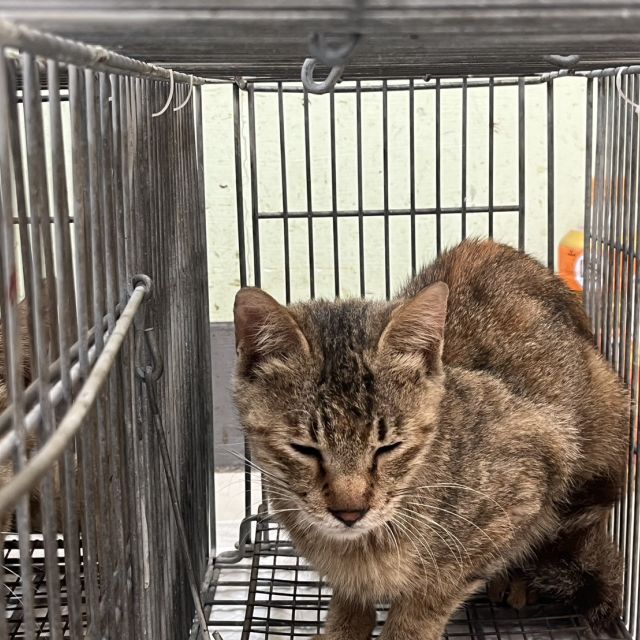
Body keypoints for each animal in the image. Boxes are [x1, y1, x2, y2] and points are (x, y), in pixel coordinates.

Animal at [233, 239, 628, 639]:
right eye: (304, 449)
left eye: (389, 447)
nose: (350, 512)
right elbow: (349, 593)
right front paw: (343, 626)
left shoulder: (525, 485)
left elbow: (430, 597)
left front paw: (404, 629)